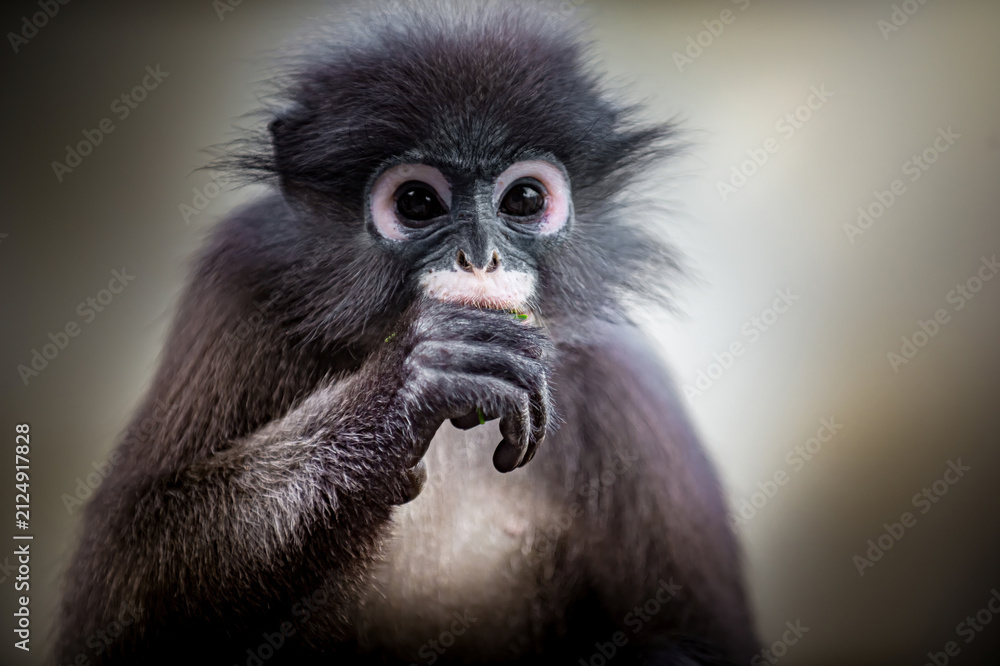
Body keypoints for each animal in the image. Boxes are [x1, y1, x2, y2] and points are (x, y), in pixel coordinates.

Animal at [56, 2, 758, 664]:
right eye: (418, 203)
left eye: (525, 199)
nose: (480, 258)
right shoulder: (239, 281)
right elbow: (117, 597)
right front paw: (408, 389)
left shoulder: (620, 378)